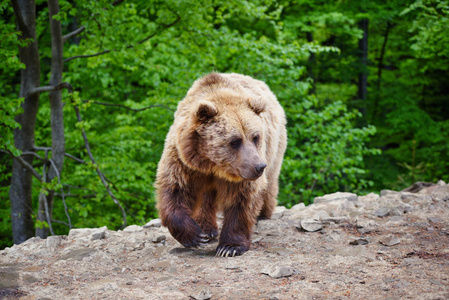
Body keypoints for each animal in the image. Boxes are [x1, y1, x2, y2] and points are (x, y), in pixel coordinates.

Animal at [156, 72, 286, 255]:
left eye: (255, 137)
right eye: (235, 141)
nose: (259, 167)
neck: (213, 164)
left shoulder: (242, 171)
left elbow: (242, 199)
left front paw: (229, 247)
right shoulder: (184, 161)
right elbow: (175, 189)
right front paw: (196, 235)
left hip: (274, 149)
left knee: (270, 181)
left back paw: (262, 213)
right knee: (206, 196)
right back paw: (206, 228)